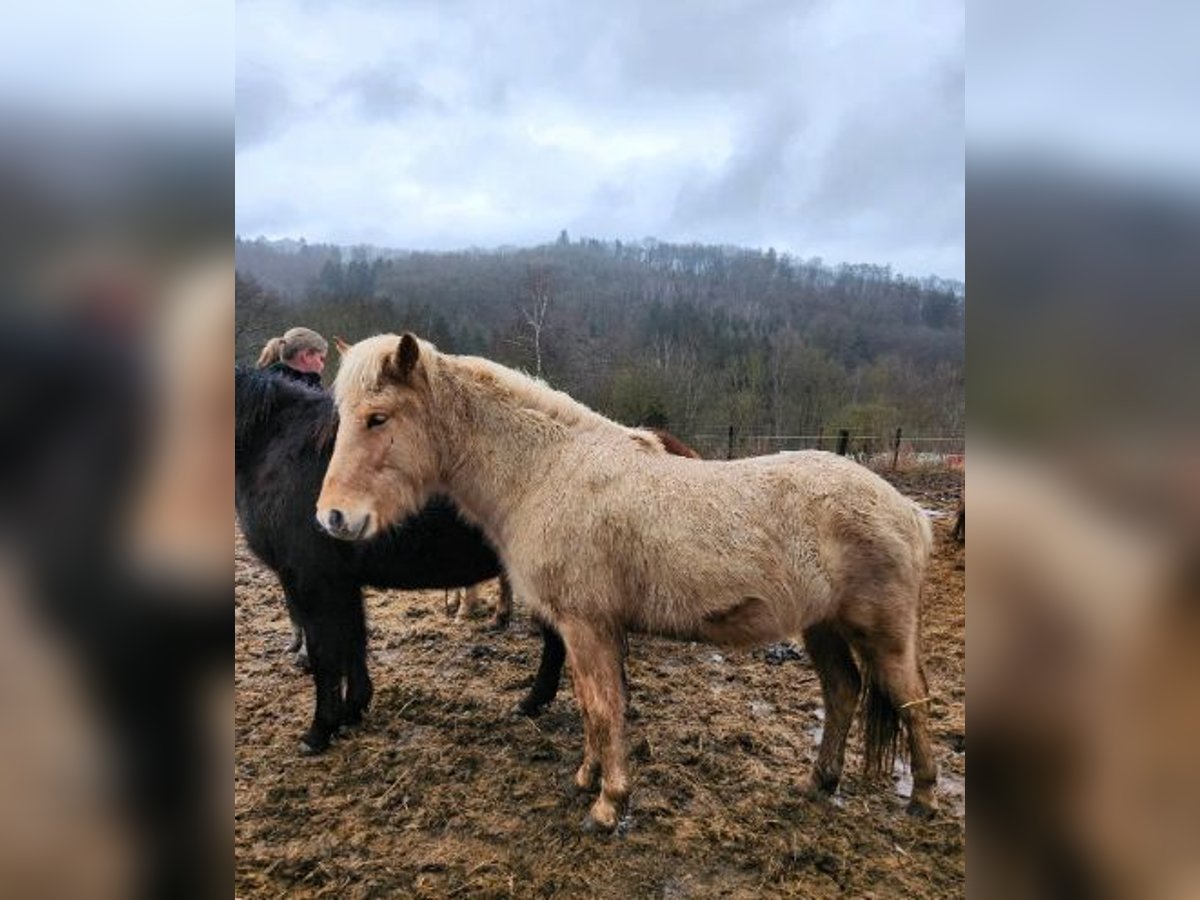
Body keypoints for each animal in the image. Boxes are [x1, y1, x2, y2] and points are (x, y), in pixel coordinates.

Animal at [238, 367, 571, 753]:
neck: (275, 448)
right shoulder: (343, 582)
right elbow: (353, 641)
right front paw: (353, 710)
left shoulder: (311, 581)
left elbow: (325, 653)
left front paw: (319, 731)